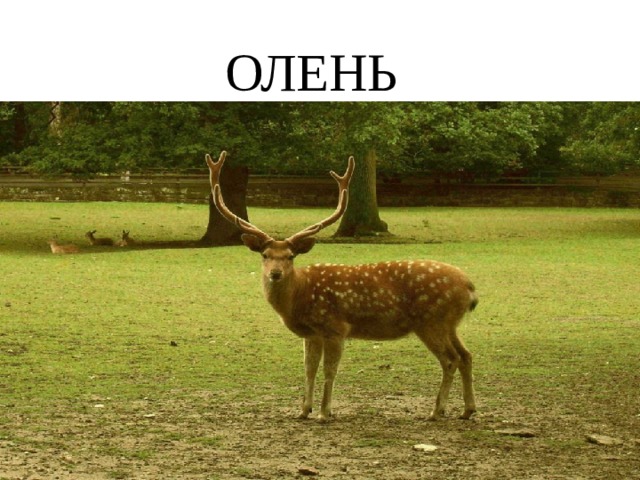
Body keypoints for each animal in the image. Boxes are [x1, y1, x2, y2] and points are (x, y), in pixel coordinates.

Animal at [206, 151, 478, 422]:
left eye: (291, 256)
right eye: (265, 254)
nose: (275, 273)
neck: (300, 296)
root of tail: (469, 286)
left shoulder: (335, 327)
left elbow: (330, 370)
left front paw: (324, 412)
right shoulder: (311, 334)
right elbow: (309, 369)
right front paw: (303, 410)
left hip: (431, 321)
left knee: (450, 359)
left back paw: (436, 410)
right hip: (449, 324)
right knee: (466, 355)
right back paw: (467, 410)